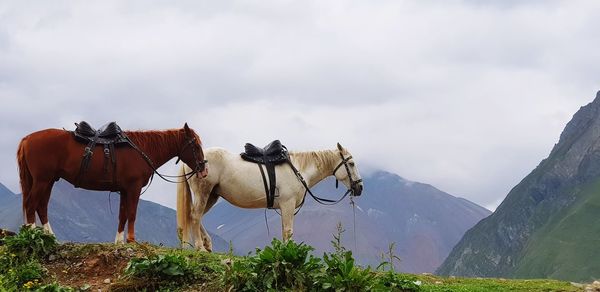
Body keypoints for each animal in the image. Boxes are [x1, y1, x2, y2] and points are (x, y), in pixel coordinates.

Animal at [16, 122, 209, 242]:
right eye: (195, 145)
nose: (204, 169)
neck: (142, 150)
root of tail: (26, 139)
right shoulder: (133, 188)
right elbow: (132, 213)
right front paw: (131, 240)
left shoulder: (124, 190)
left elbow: (122, 215)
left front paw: (119, 242)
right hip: (42, 180)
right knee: (31, 204)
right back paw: (32, 234)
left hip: (48, 181)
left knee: (41, 206)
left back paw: (50, 237)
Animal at [176, 143, 364, 250]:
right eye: (351, 163)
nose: (360, 187)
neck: (298, 169)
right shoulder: (287, 205)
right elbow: (288, 231)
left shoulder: (285, 208)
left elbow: (284, 232)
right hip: (203, 192)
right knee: (195, 216)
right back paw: (200, 247)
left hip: (211, 196)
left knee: (195, 216)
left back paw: (207, 244)